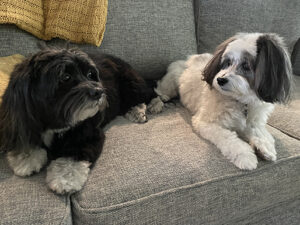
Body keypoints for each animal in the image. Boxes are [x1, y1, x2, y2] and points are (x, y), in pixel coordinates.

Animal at [0, 47, 155, 193]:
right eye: (66, 77)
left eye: (90, 75)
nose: (100, 91)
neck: (55, 123)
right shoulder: (25, 122)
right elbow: (28, 141)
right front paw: (26, 158)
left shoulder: (89, 133)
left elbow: (72, 157)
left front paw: (64, 178)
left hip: (132, 84)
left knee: (149, 93)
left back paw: (146, 108)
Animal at [149, 32, 292, 170]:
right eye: (227, 63)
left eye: (246, 66)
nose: (220, 80)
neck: (240, 101)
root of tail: (190, 58)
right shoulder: (206, 123)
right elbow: (229, 138)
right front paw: (245, 156)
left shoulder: (254, 122)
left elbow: (260, 133)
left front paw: (265, 148)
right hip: (170, 84)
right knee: (159, 91)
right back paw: (158, 103)